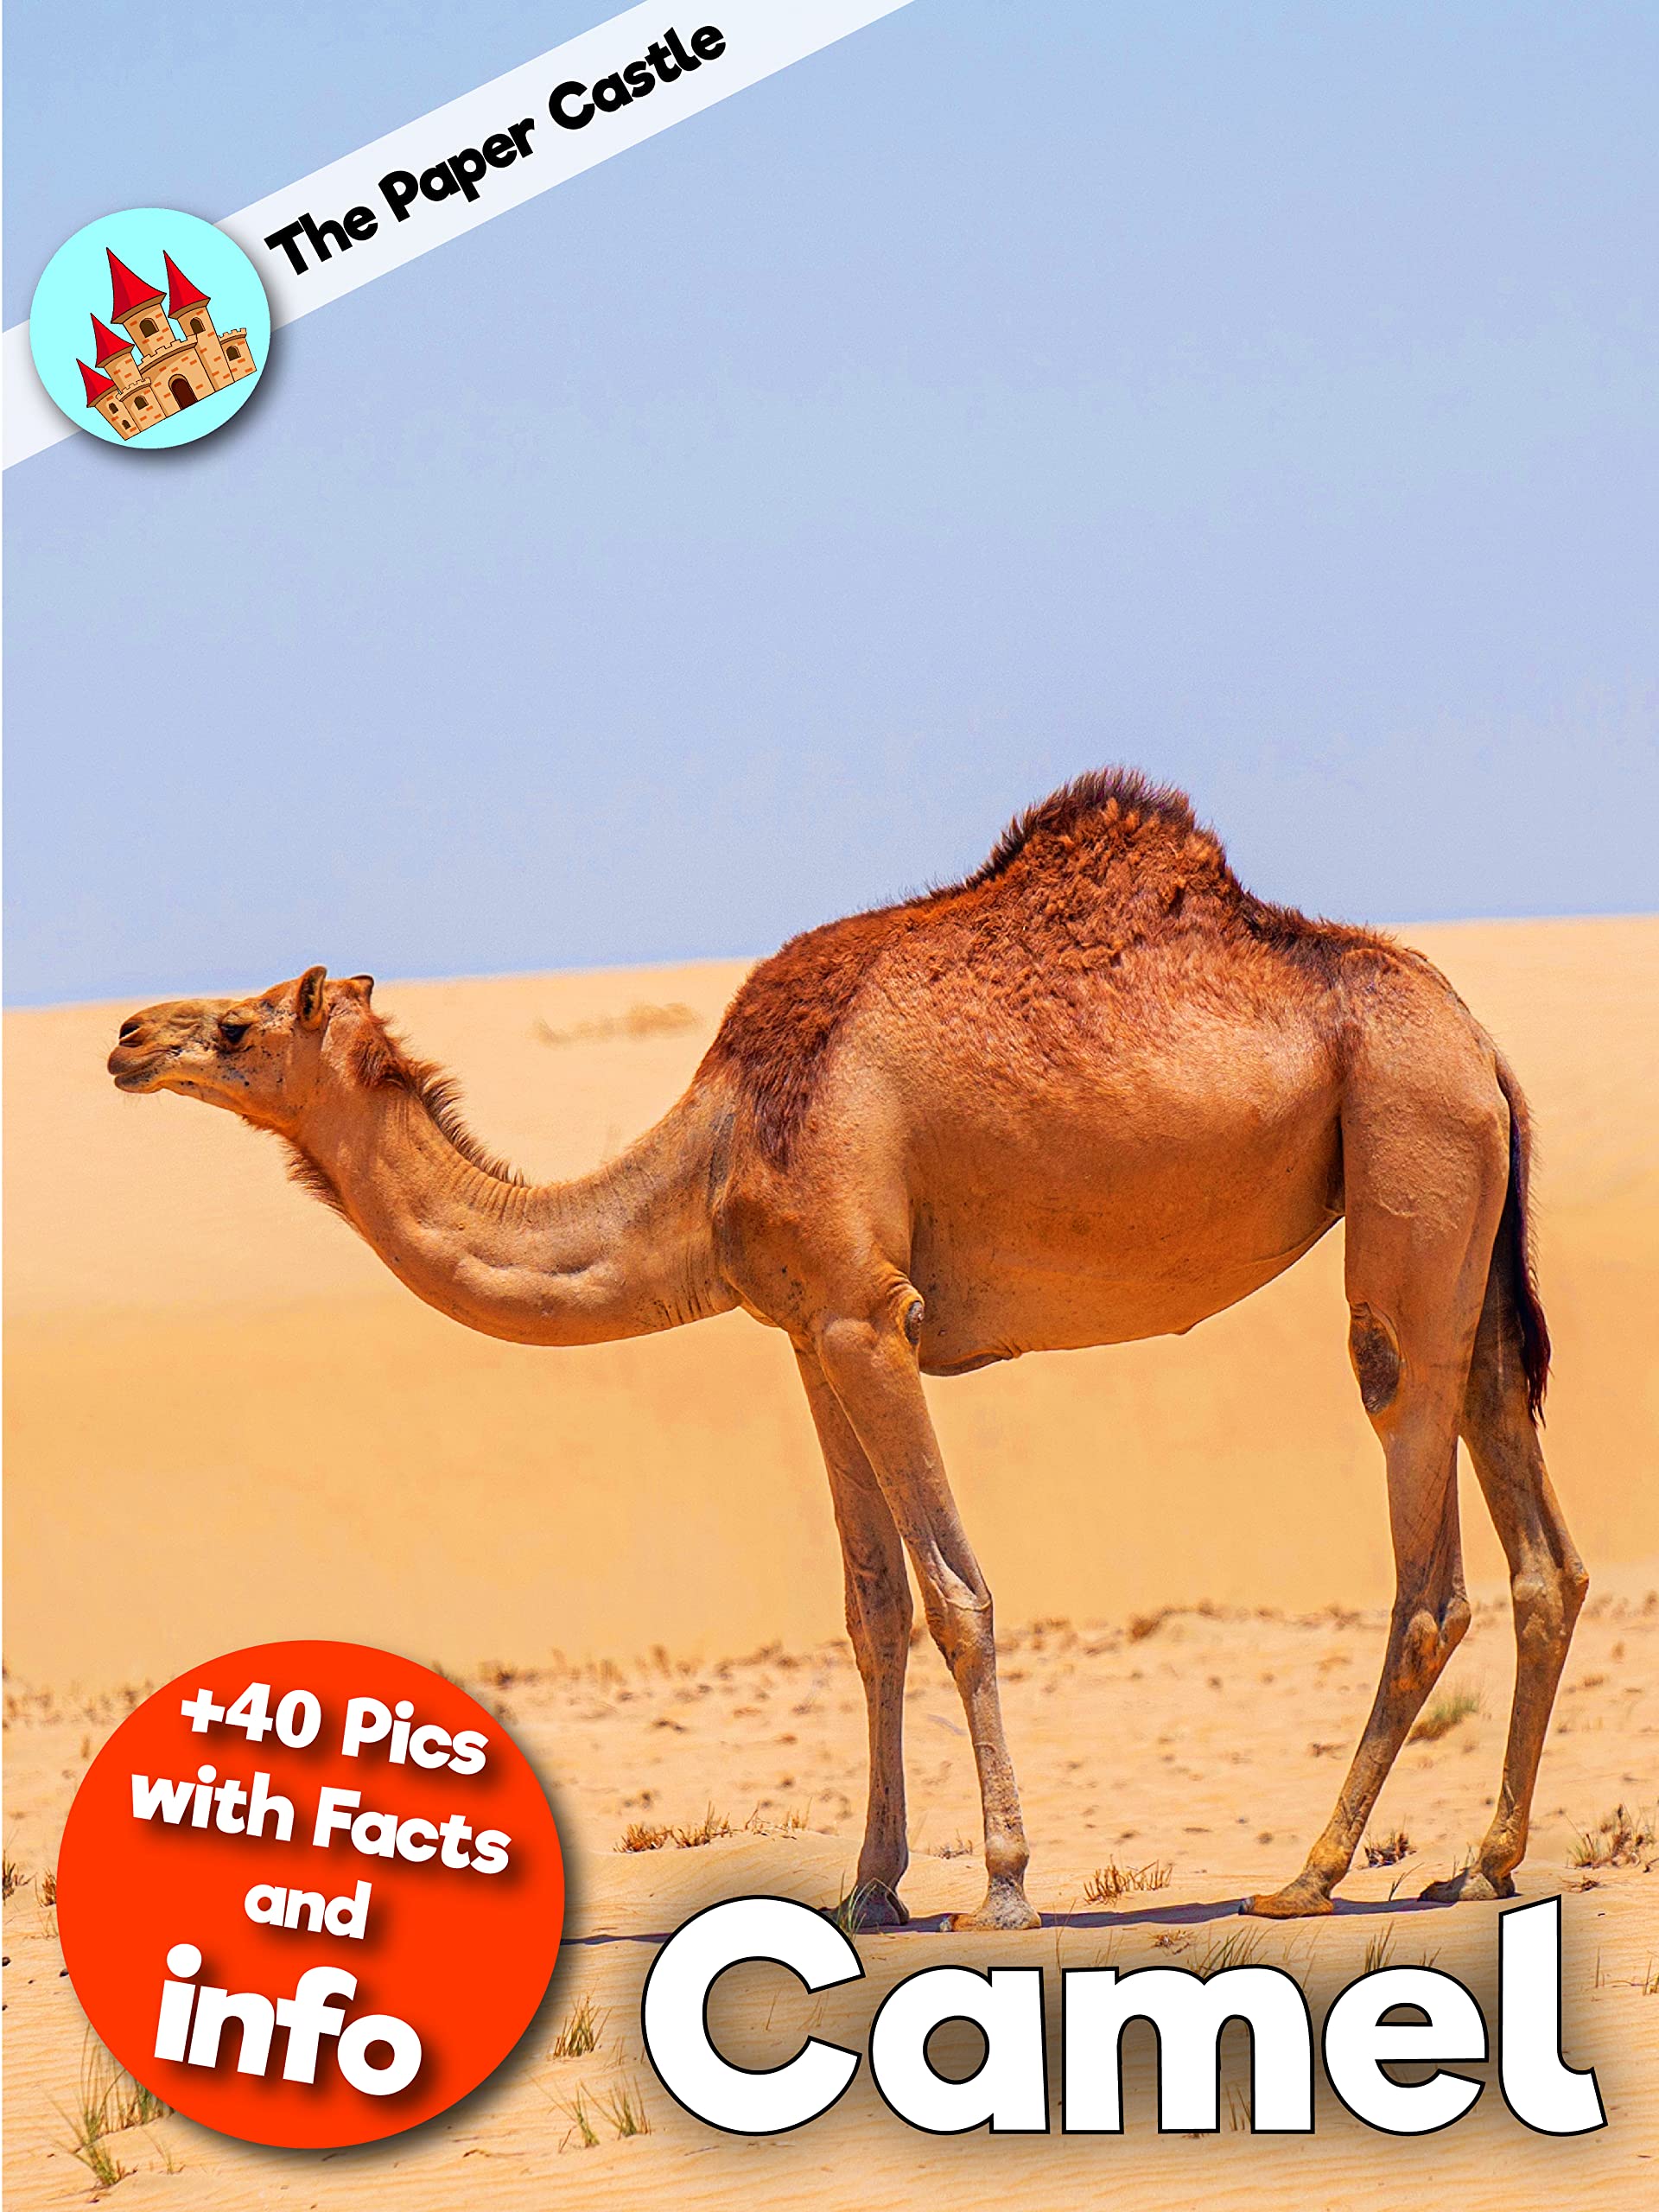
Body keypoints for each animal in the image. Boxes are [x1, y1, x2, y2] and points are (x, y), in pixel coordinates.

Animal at [108, 770, 1586, 1931]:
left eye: (240, 1023)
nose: (127, 1035)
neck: (716, 1149)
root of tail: (1487, 1047)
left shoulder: (873, 1314)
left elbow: (955, 1599)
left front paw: (1002, 1883)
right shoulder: (807, 1331)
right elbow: (871, 1608)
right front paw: (868, 1889)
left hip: (1407, 1151)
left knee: (1422, 1538)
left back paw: (1311, 1871)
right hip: (1464, 1227)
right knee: (1538, 1543)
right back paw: (1482, 1862)